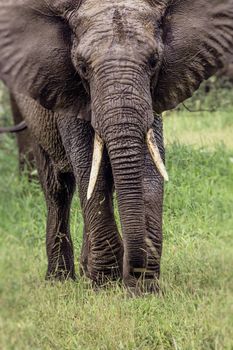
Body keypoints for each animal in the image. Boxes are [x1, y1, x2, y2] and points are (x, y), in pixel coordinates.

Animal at [0, 0, 232, 292]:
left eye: (154, 62)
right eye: (82, 67)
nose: (133, 276)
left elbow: (148, 165)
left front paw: (142, 285)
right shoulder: (68, 89)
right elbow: (88, 166)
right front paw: (107, 283)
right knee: (58, 189)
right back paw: (60, 279)